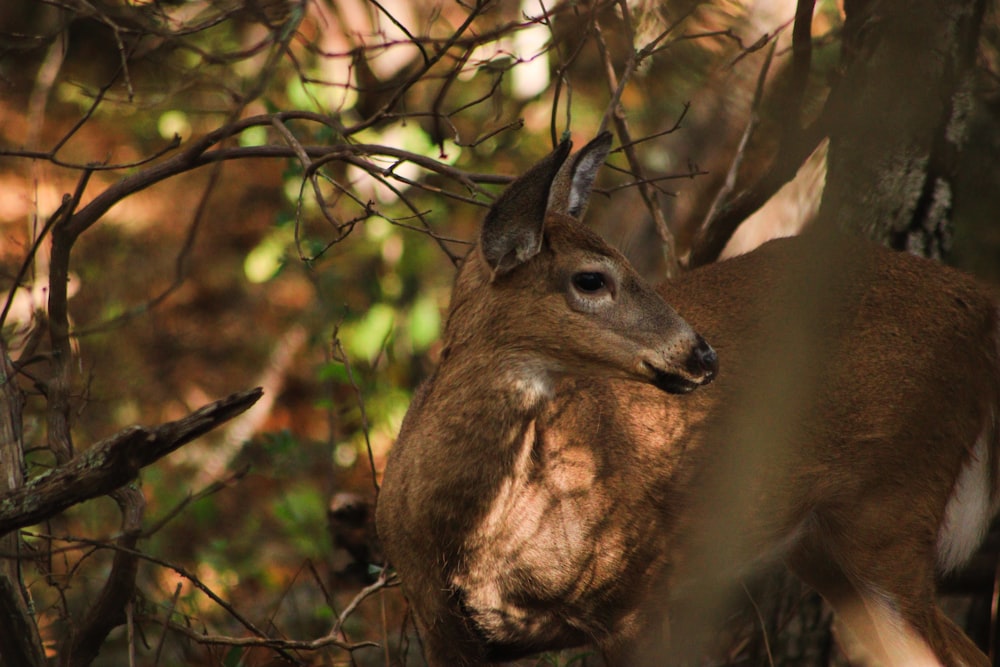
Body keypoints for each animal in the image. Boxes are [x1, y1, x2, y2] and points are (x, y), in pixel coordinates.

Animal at [376, 132, 1000, 667]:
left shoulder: (634, 591)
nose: (704, 355)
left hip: (893, 499)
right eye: (590, 279)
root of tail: (981, 302)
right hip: (822, 544)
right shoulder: (440, 629)